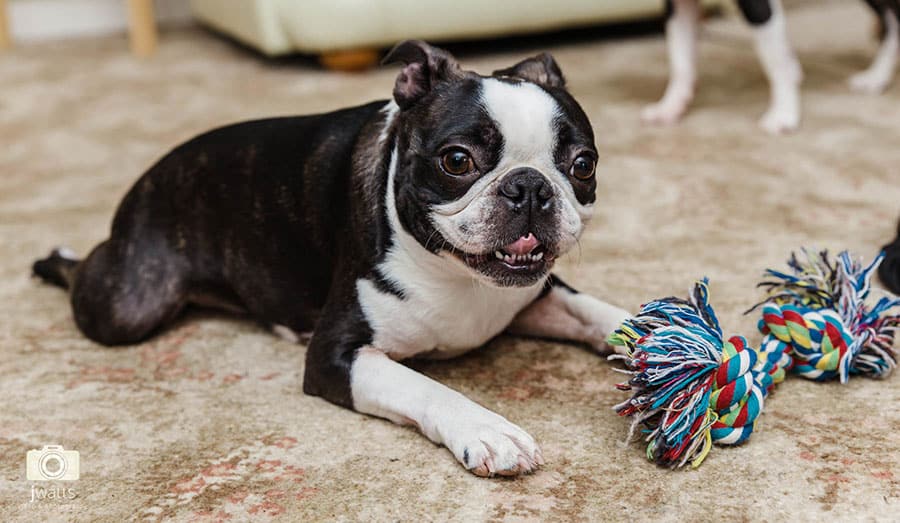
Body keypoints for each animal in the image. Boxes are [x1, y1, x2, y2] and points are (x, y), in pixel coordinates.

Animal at [31, 41, 628, 478]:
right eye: (457, 160)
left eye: (583, 164)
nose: (530, 187)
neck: (457, 275)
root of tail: (146, 179)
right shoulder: (335, 358)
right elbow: (423, 386)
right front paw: (486, 430)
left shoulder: (537, 293)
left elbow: (600, 314)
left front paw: (645, 332)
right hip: (128, 304)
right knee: (91, 278)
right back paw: (56, 257)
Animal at [644, 0, 896, 134]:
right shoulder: (678, 7)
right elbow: (680, 60)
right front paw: (670, 106)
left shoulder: (757, 5)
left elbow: (774, 63)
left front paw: (783, 112)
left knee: (893, 20)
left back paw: (877, 76)